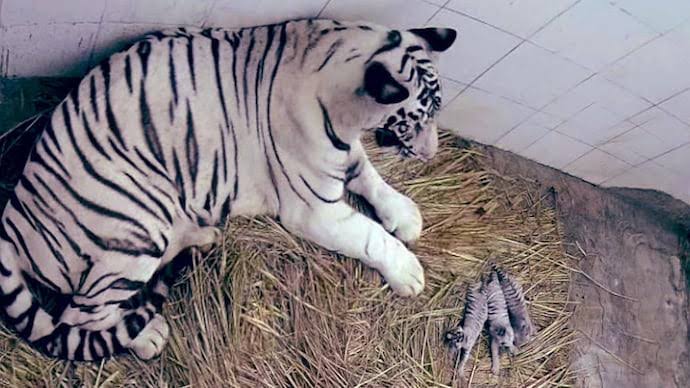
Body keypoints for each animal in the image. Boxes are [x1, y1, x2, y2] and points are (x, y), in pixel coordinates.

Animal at [1, 19, 456, 360]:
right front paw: (408, 271)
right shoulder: (315, 209)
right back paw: (148, 335)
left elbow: (371, 176)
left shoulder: (345, 157)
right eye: (414, 120)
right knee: (79, 317)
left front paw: (405, 214)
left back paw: (204, 236)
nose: (431, 154)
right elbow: (370, 235)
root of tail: (13, 217)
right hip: (135, 223)